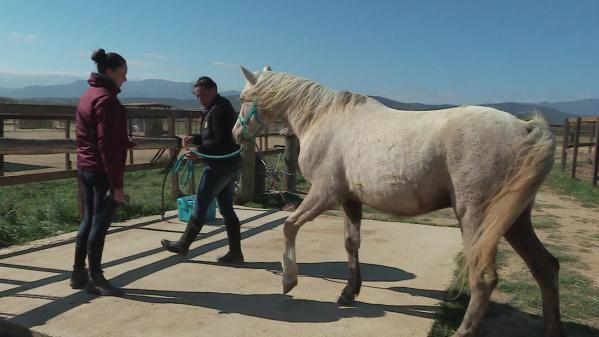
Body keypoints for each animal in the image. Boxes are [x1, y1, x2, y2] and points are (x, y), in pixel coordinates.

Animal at [232, 65, 564, 336]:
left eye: (245, 98)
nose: (236, 134)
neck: (324, 118)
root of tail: (525, 129)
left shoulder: (325, 194)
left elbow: (289, 226)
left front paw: (289, 280)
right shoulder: (350, 199)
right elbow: (351, 244)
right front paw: (349, 292)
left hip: (477, 219)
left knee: (484, 277)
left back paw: (463, 331)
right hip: (515, 220)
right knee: (545, 267)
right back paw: (552, 329)